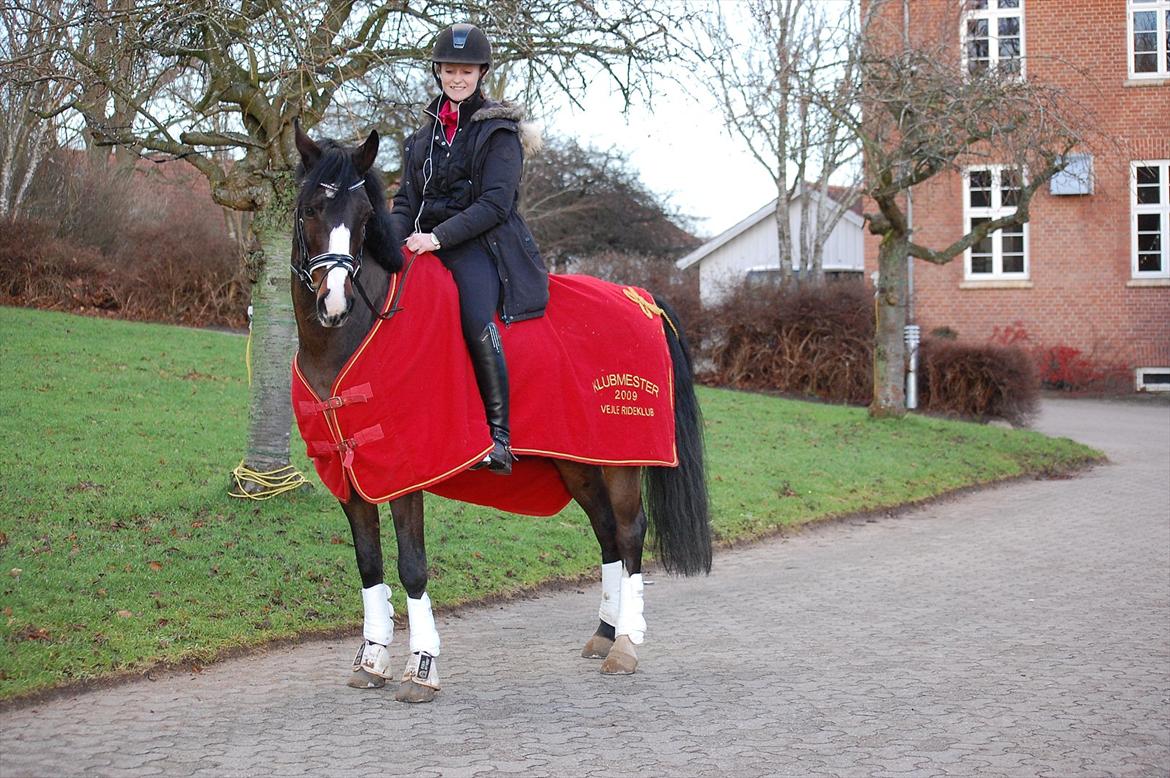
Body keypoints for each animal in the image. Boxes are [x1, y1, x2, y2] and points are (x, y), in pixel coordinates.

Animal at [292, 122, 711, 701]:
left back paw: (626, 643)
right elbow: (368, 564)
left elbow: (412, 566)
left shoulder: (403, 473)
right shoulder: (351, 477)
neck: (357, 334)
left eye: (363, 217)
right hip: (575, 462)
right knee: (606, 531)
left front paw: (422, 666)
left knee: (629, 533)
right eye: (311, 207)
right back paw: (604, 633)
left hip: (620, 462)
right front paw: (371, 658)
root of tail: (641, 297)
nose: (334, 301)